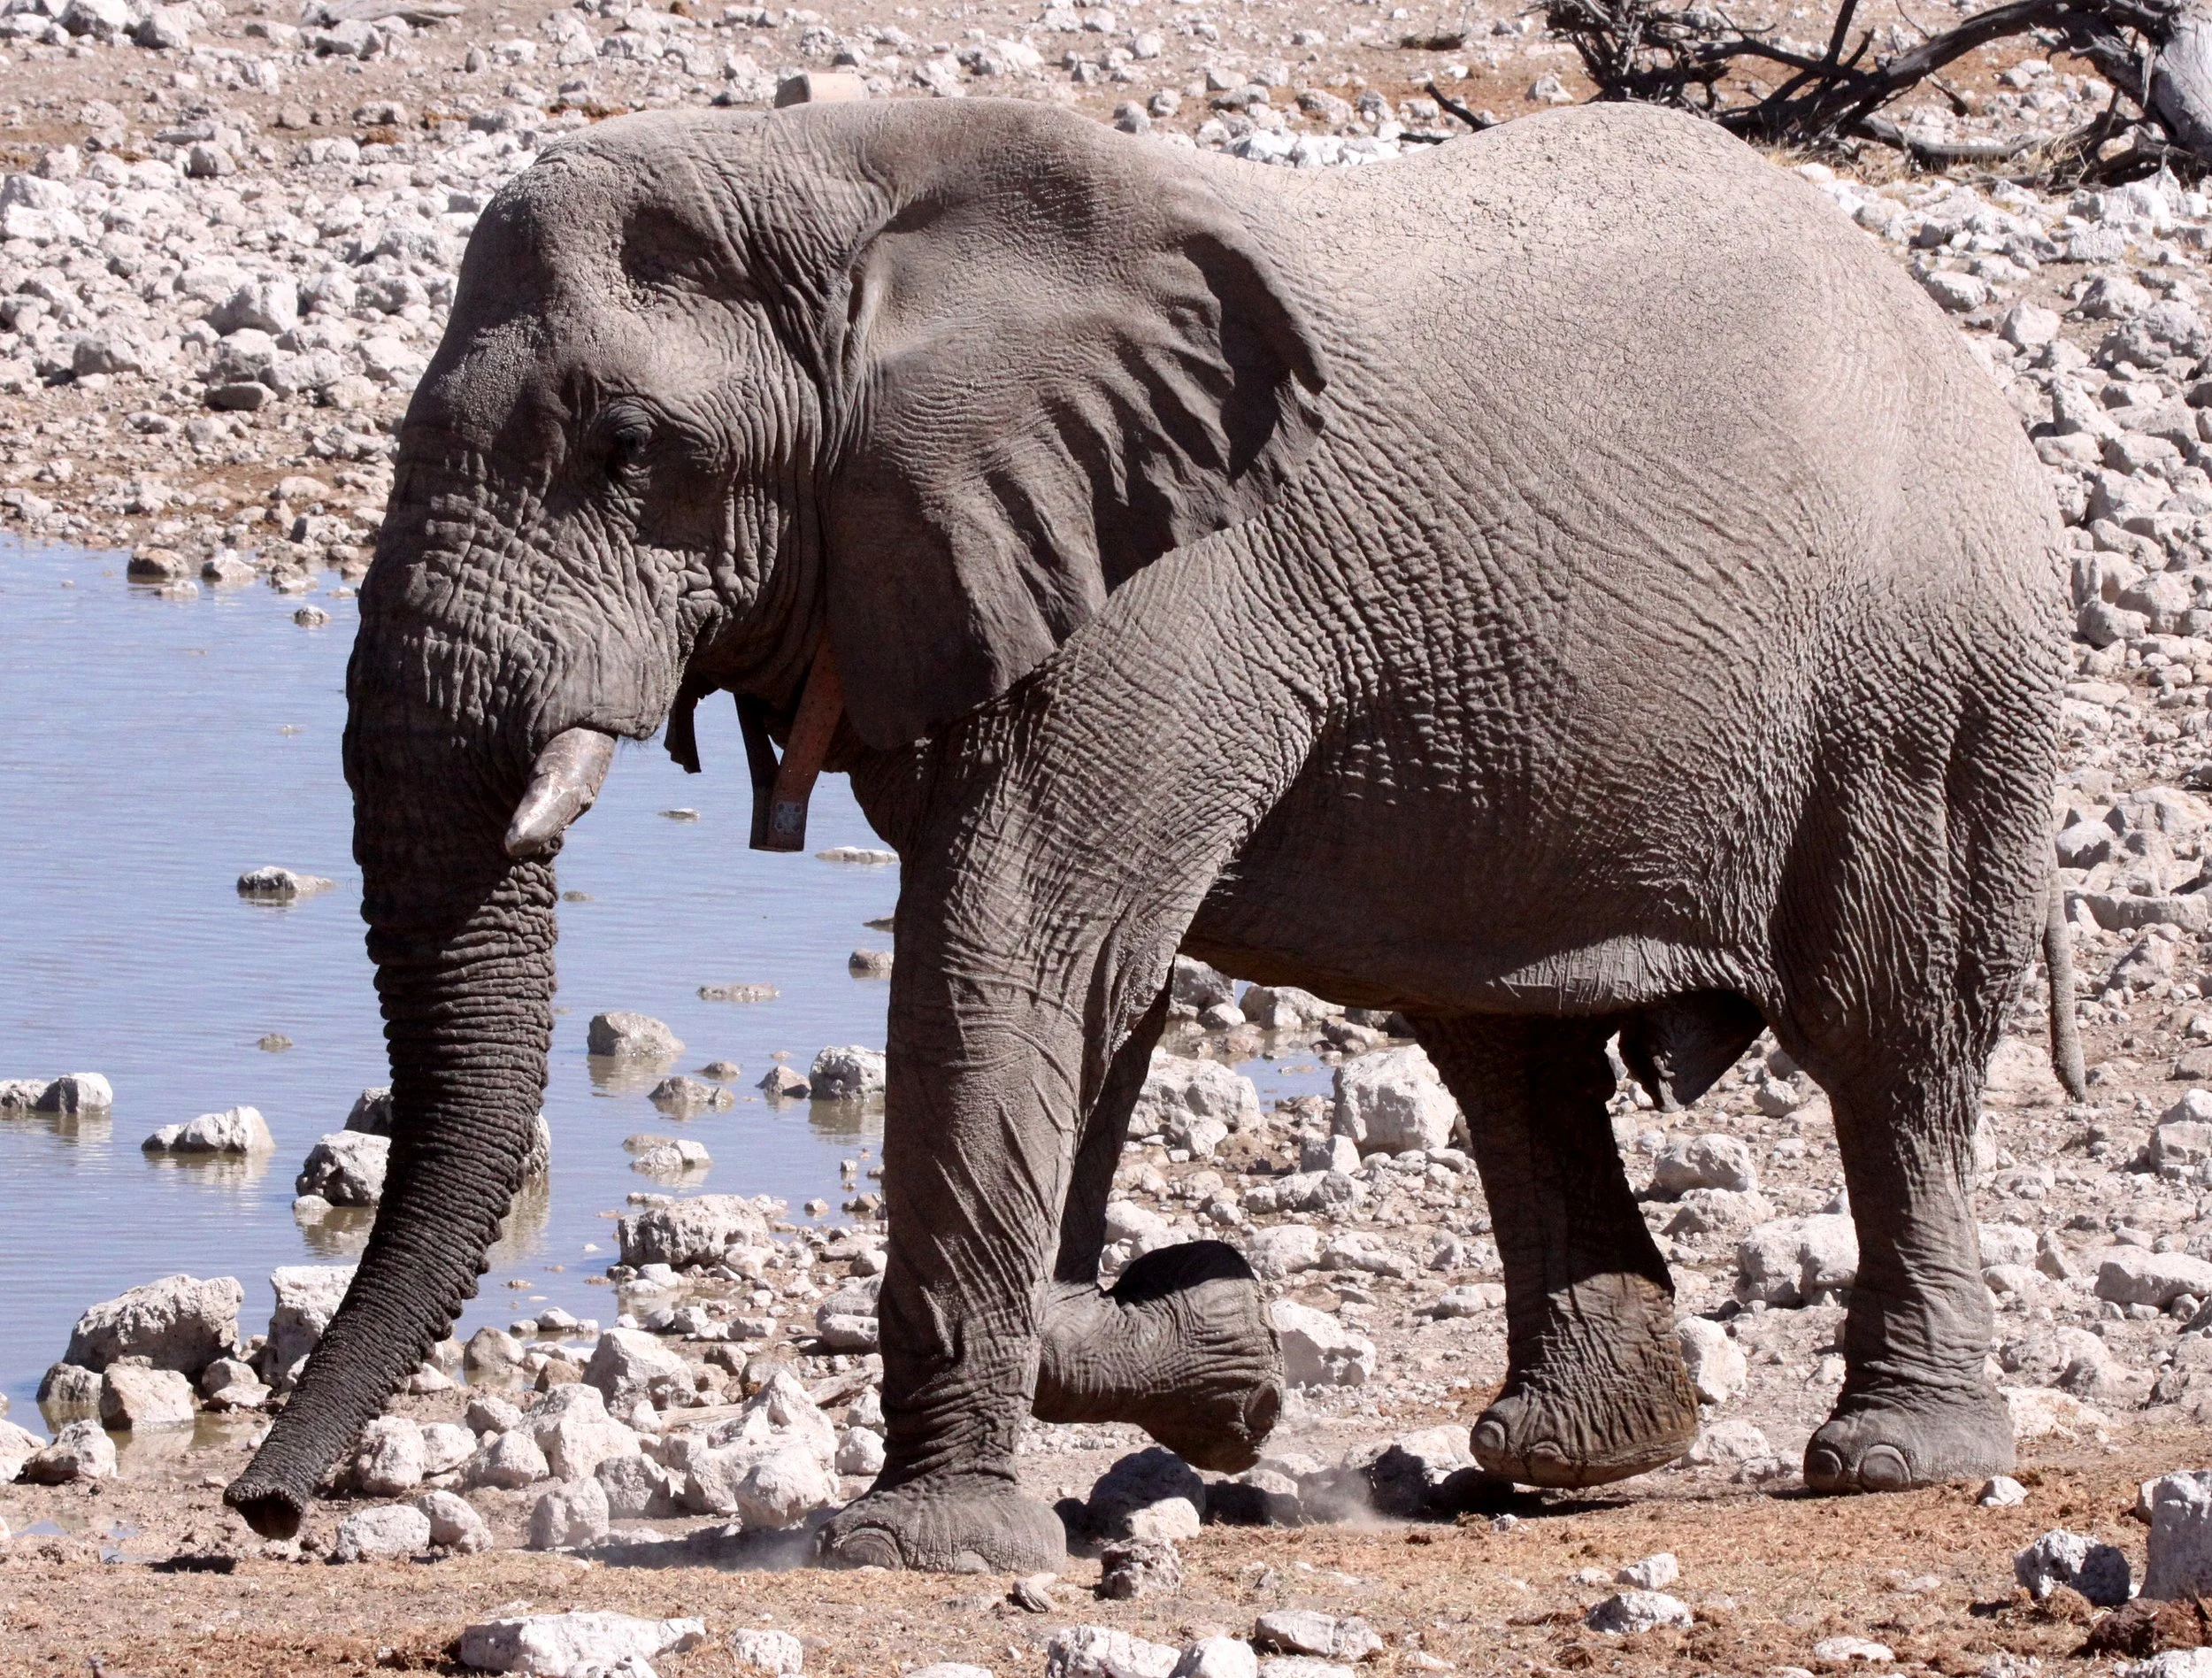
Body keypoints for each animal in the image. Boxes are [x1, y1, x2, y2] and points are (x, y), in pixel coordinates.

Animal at [225, 96, 2075, 1571]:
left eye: (625, 450)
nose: (260, 1512)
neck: (846, 181)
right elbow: (1084, 1001)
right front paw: (1207, 1342)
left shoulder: (1169, 589)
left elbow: (1014, 960)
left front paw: (931, 1539)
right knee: (1506, 1046)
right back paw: (1560, 1451)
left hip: (1927, 687)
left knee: (1888, 1042)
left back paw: (1889, 1455)